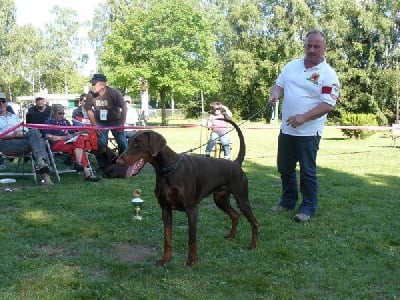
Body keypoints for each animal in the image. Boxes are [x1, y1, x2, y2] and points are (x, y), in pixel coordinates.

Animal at [115, 118, 260, 266]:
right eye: (129, 143)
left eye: (138, 145)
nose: (118, 161)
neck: (169, 169)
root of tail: (236, 163)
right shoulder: (165, 209)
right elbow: (167, 238)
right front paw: (165, 259)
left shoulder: (191, 209)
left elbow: (192, 238)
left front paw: (192, 259)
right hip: (220, 199)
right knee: (235, 215)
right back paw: (231, 236)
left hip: (242, 199)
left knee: (254, 222)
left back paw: (253, 245)